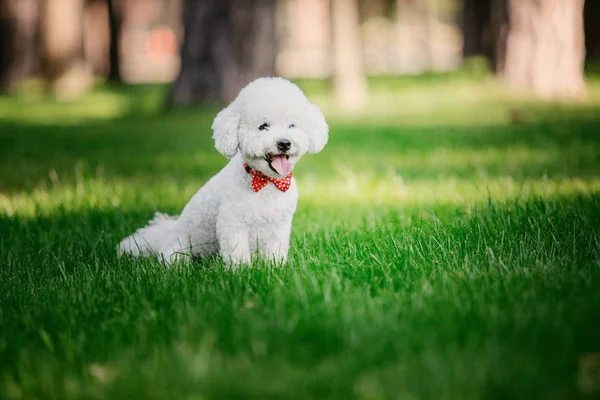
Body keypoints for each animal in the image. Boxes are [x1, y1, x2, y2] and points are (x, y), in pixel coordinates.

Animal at [118, 78, 328, 266]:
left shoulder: (279, 226)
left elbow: (274, 252)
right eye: (263, 126)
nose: (284, 143)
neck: (266, 183)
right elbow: (238, 254)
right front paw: (242, 272)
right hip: (179, 249)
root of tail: (168, 232)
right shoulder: (232, 222)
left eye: (292, 125)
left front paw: (274, 268)